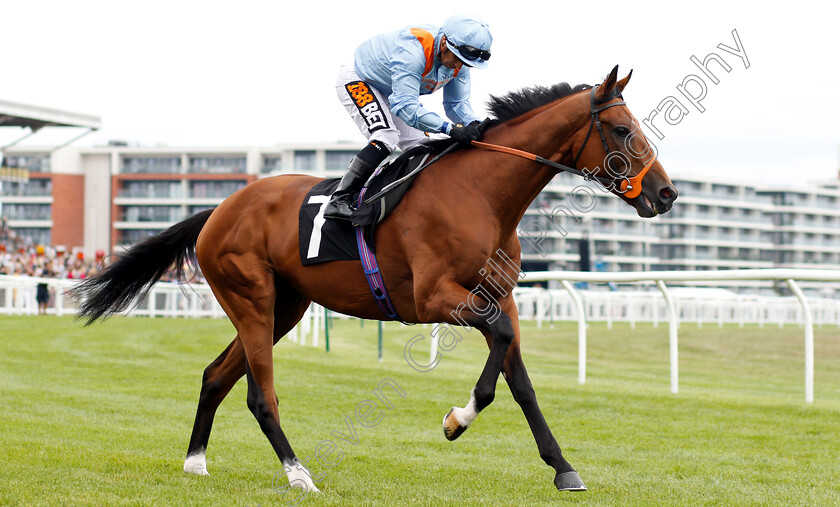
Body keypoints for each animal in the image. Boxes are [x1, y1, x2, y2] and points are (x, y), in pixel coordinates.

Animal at [70, 66, 676, 496]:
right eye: (622, 129)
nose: (666, 194)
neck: (481, 194)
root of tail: (220, 208)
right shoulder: (435, 298)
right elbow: (498, 353)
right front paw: (456, 421)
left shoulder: (500, 296)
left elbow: (520, 380)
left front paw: (563, 467)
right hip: (251, 298)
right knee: (260, 393)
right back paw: (298, 473)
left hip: (283, 307)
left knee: (216, 375)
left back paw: (196, 462)